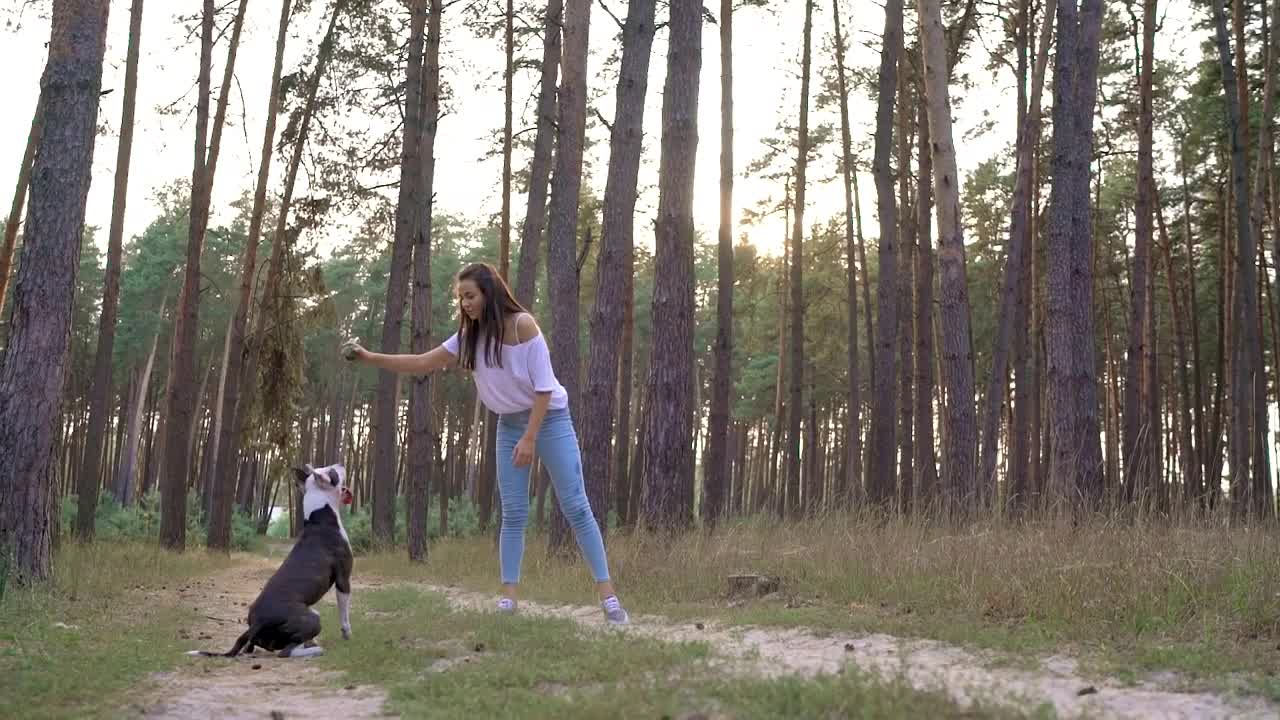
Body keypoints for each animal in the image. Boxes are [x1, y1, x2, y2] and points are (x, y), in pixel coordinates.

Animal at [186, 461, 355, 661]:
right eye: (332, 472)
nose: (341, 463)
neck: (320, 517)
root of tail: (257, 623)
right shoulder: (343, 580)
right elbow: (344, 613)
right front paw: (347, 634)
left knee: (259, 646)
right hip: (313, 617)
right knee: (286, 652)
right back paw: (315, 649)